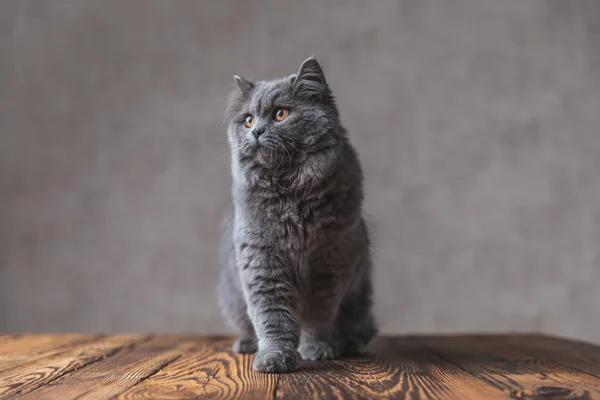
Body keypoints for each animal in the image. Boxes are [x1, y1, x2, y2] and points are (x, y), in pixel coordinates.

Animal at [218, 57, 376, 374]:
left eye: (281, 114)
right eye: (248, 120)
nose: (256, 132)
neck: (291, 194)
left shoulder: (329, 265)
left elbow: (318, 317)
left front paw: (316, 349)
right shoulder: (263, 262)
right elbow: (272, 319)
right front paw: (273, 358)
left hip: (358, 295)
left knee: (361, 328)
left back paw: (348, 344)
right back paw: (246, 345)